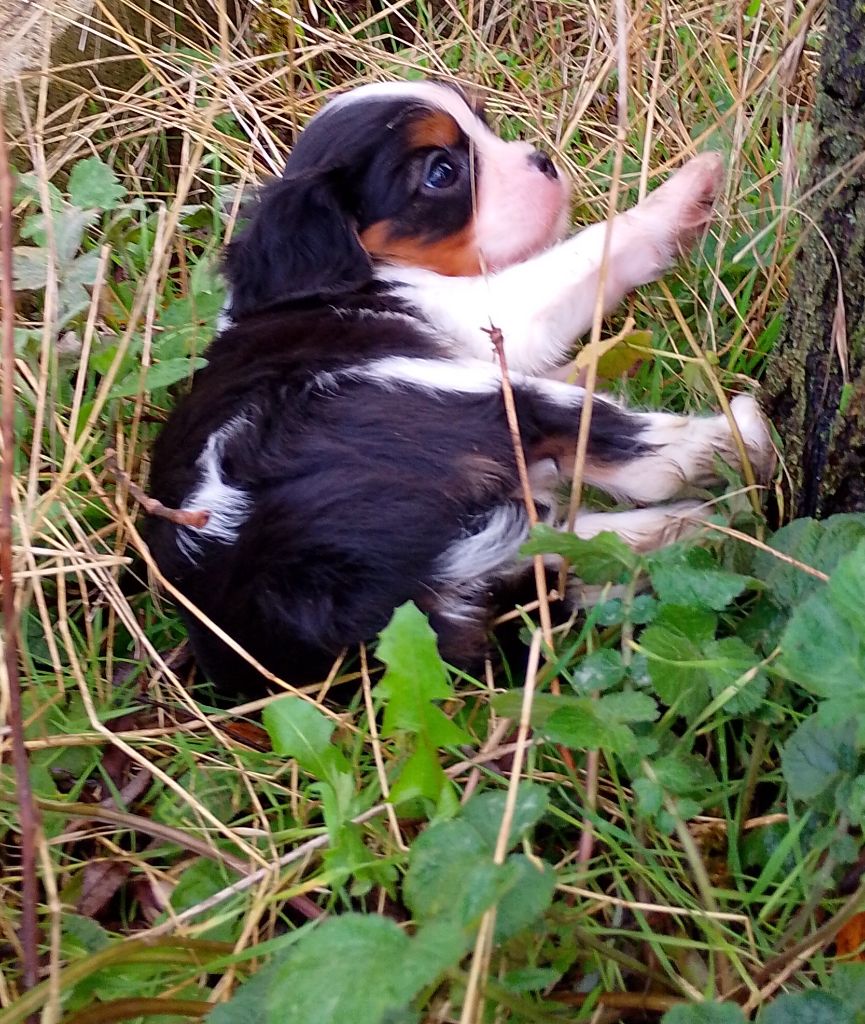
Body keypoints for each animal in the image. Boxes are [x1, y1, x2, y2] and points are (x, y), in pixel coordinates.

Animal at [145, 77, 773, 688]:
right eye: (442, 172)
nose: (543, 161)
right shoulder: (493, 317)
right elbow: (594, 251)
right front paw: (689, 187)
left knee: (569, 556)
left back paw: (693, 531)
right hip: (456, 396)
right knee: (636, 458)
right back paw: (737, 445)